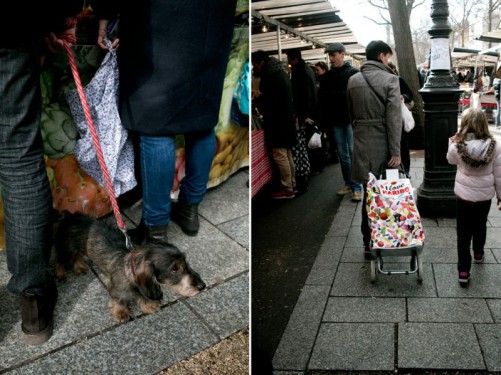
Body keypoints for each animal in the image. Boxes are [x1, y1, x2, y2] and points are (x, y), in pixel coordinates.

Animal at [53, 213, 205, 322]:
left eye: (185, 262)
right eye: (175, 269)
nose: (202, 286)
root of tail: (69, 216)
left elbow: (140, 295)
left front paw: (147, 304)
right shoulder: (116, 289)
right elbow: (119, 300)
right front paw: (121, 312)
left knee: (77, 256)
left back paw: (79, 267)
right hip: (65, 248)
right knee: (59, 260)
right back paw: (60, 274)